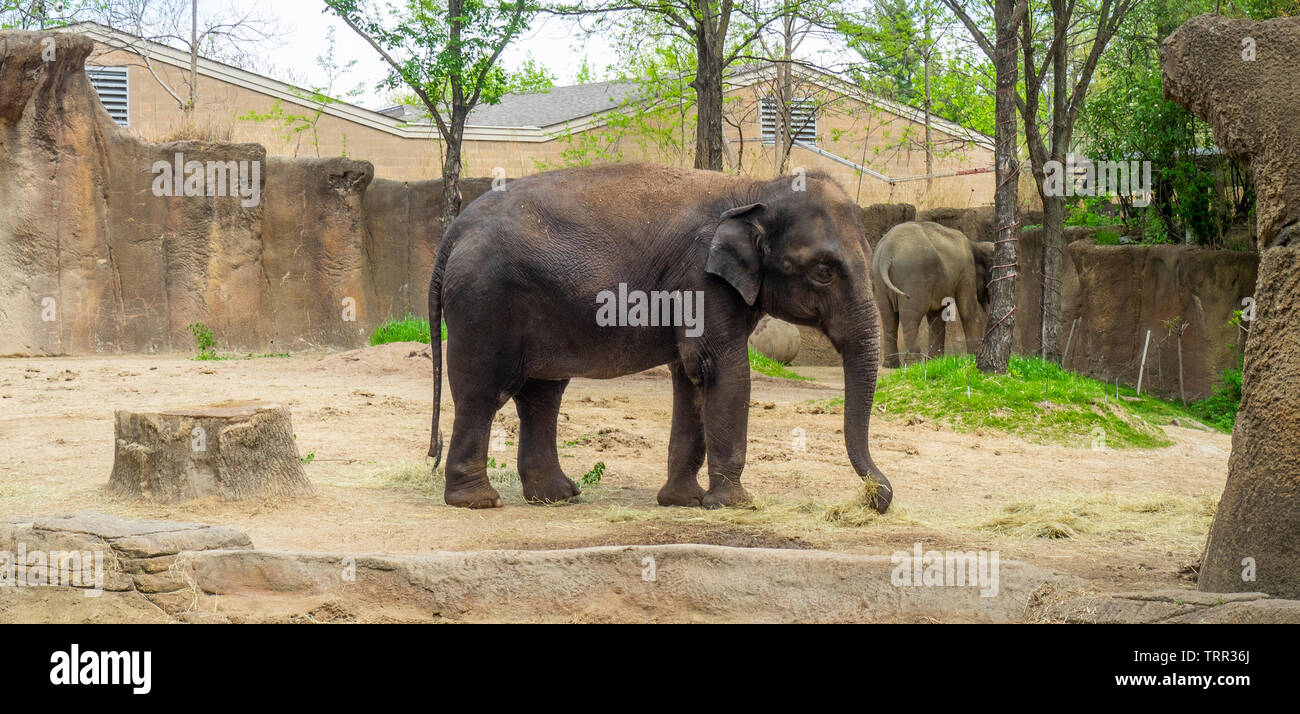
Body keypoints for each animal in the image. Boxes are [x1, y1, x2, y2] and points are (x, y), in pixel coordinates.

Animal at [427, 163, 892, 513]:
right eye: (824, 271)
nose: (878, 499)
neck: (755, 188)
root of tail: (454, 232)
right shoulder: (701, 281)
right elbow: (721, 370)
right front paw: (732, 504)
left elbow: (690, 378)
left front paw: (683, 501)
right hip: (484, 302)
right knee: (483, 392)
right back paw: (478, 502)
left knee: (542, 395)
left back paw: (556, 496)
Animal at [871, 221, 996, 368]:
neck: (975, 244)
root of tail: (887, 252)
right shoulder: (966, 271)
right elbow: (968, 311)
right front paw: (973, 357)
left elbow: (937, 316)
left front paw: (935, 361)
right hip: (912, 277)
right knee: (910, 317)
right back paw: (914, 364)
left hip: (879, 281)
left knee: (888, 318)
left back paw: (891, 365)